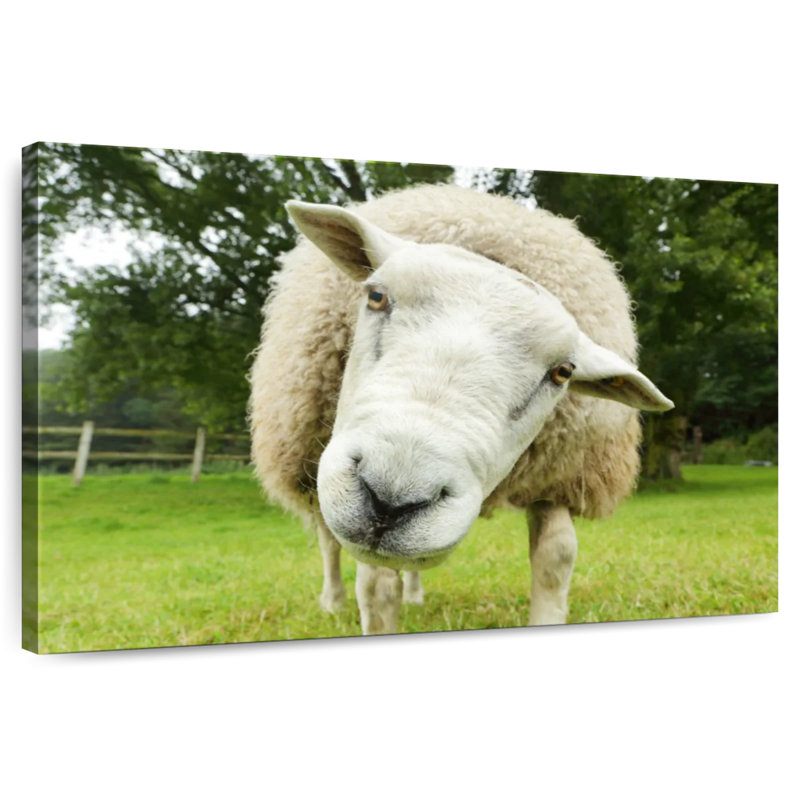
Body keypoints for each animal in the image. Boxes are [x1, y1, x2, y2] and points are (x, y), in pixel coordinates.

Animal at [249, 184, 673, 635]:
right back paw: (332, 601)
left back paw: (414, 595)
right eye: (376, 296)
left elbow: (556, 559)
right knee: (328, 540)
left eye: (563, 372)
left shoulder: (558, 477)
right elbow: (376, 589)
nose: (391, 500)